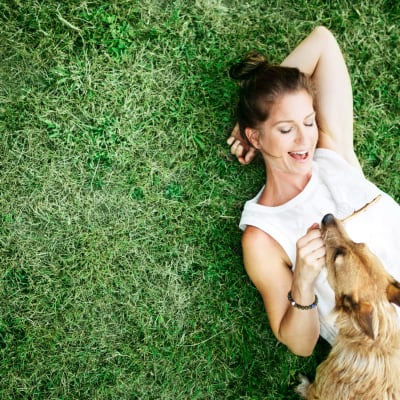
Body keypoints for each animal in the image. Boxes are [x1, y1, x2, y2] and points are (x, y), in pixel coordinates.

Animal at [296, 214, 400, 398]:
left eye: (336, 256)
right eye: (359, 243)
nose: (328, 216)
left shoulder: (319, 388)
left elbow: (309, 390)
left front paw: (302, 386)